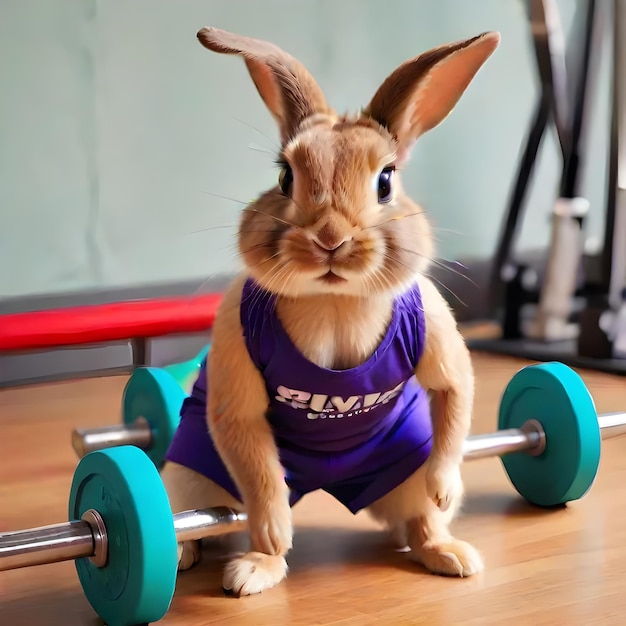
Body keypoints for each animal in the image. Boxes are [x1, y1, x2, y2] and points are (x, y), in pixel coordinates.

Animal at [160, 25, 498, 596]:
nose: (330, 239)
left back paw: (452, 555)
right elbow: (256, 468)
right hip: (191, 476)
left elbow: (455, 396)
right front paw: (274, 535)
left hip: (402, 468)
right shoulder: (234, 381)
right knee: (207, 517)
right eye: (284, 179)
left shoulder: (436, 330)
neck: (334, 300)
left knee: (419, 520)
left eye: (386, 181)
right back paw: (237, 568)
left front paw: (446, 490)